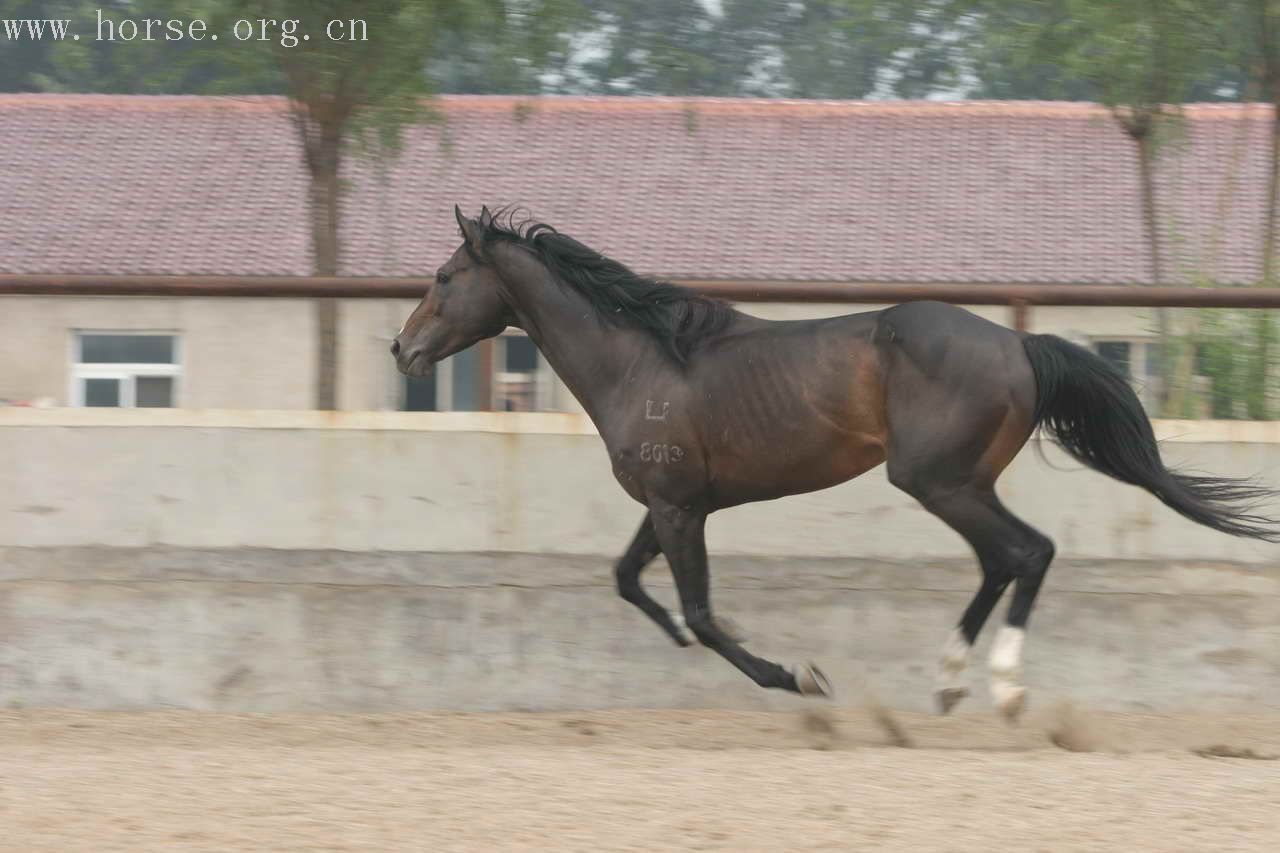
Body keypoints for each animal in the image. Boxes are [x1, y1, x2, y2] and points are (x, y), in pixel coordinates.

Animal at [391, 206, 1280, 717]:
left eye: (444, 275)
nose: (402, 350)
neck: (641, 360)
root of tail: (1018, 344)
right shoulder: (675, 503)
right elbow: (629, 581)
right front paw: (682, 636)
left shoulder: (678, 507)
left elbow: (704, 613)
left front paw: (798, 675)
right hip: (959, 482)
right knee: (1006, 559)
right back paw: (950, 682)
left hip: (936, 480)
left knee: (1027, 552)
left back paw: (1000, 686)